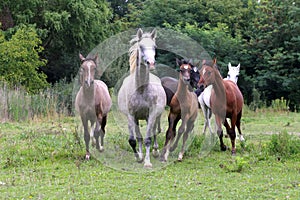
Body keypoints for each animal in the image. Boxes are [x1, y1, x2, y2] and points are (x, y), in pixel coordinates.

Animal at [118, 28, 166, 168]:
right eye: (141, 46)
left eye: (155, 46)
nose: (151, 63)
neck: (140, 90)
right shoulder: (131, 115)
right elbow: (134, 140)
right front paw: (139, 157)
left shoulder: (152, 114)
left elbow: (148, 138)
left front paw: (148, 162)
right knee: (139, 137)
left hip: (155, 116)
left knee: (154, 132)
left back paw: (155, 151)